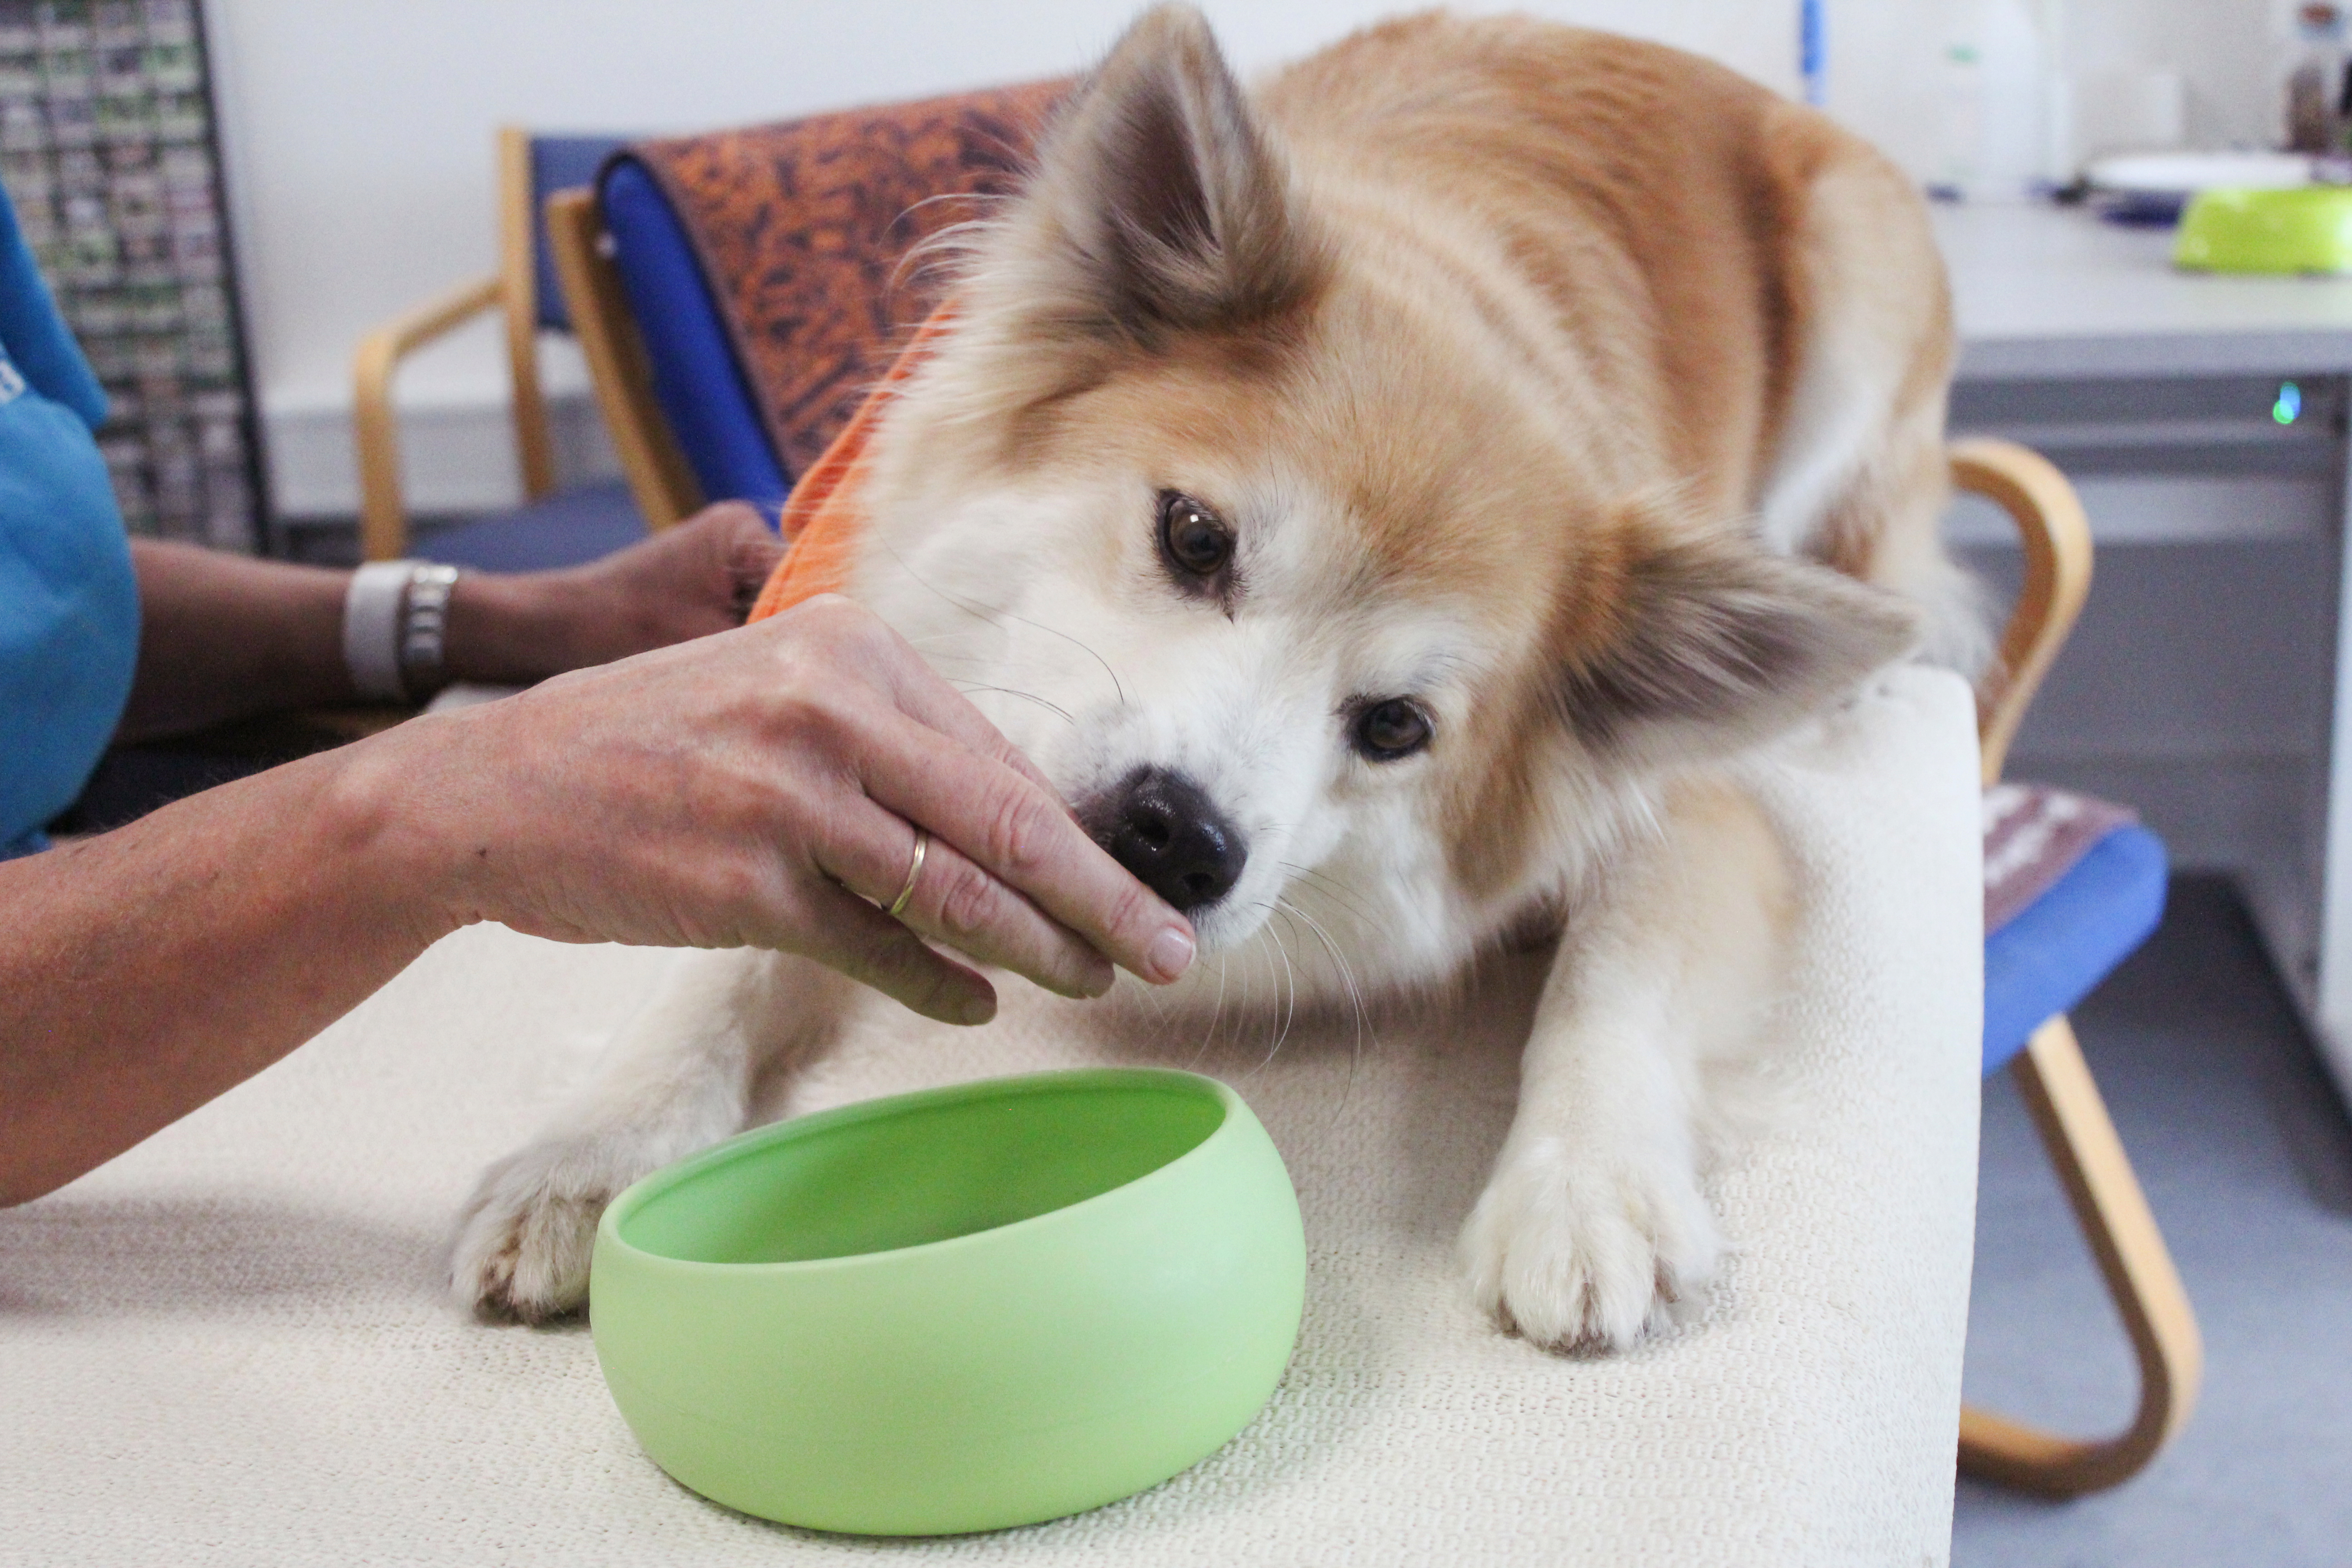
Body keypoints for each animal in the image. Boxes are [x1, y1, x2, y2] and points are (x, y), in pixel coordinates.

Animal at [449, 3, 1957, 1354]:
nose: (1177, 835)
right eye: (1193, 537)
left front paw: (1588, 1188)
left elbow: (1618, 969)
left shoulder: (1687, 807)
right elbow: (729, 956)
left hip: (1854, 295)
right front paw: (591, 1147)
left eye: (1395, 725)